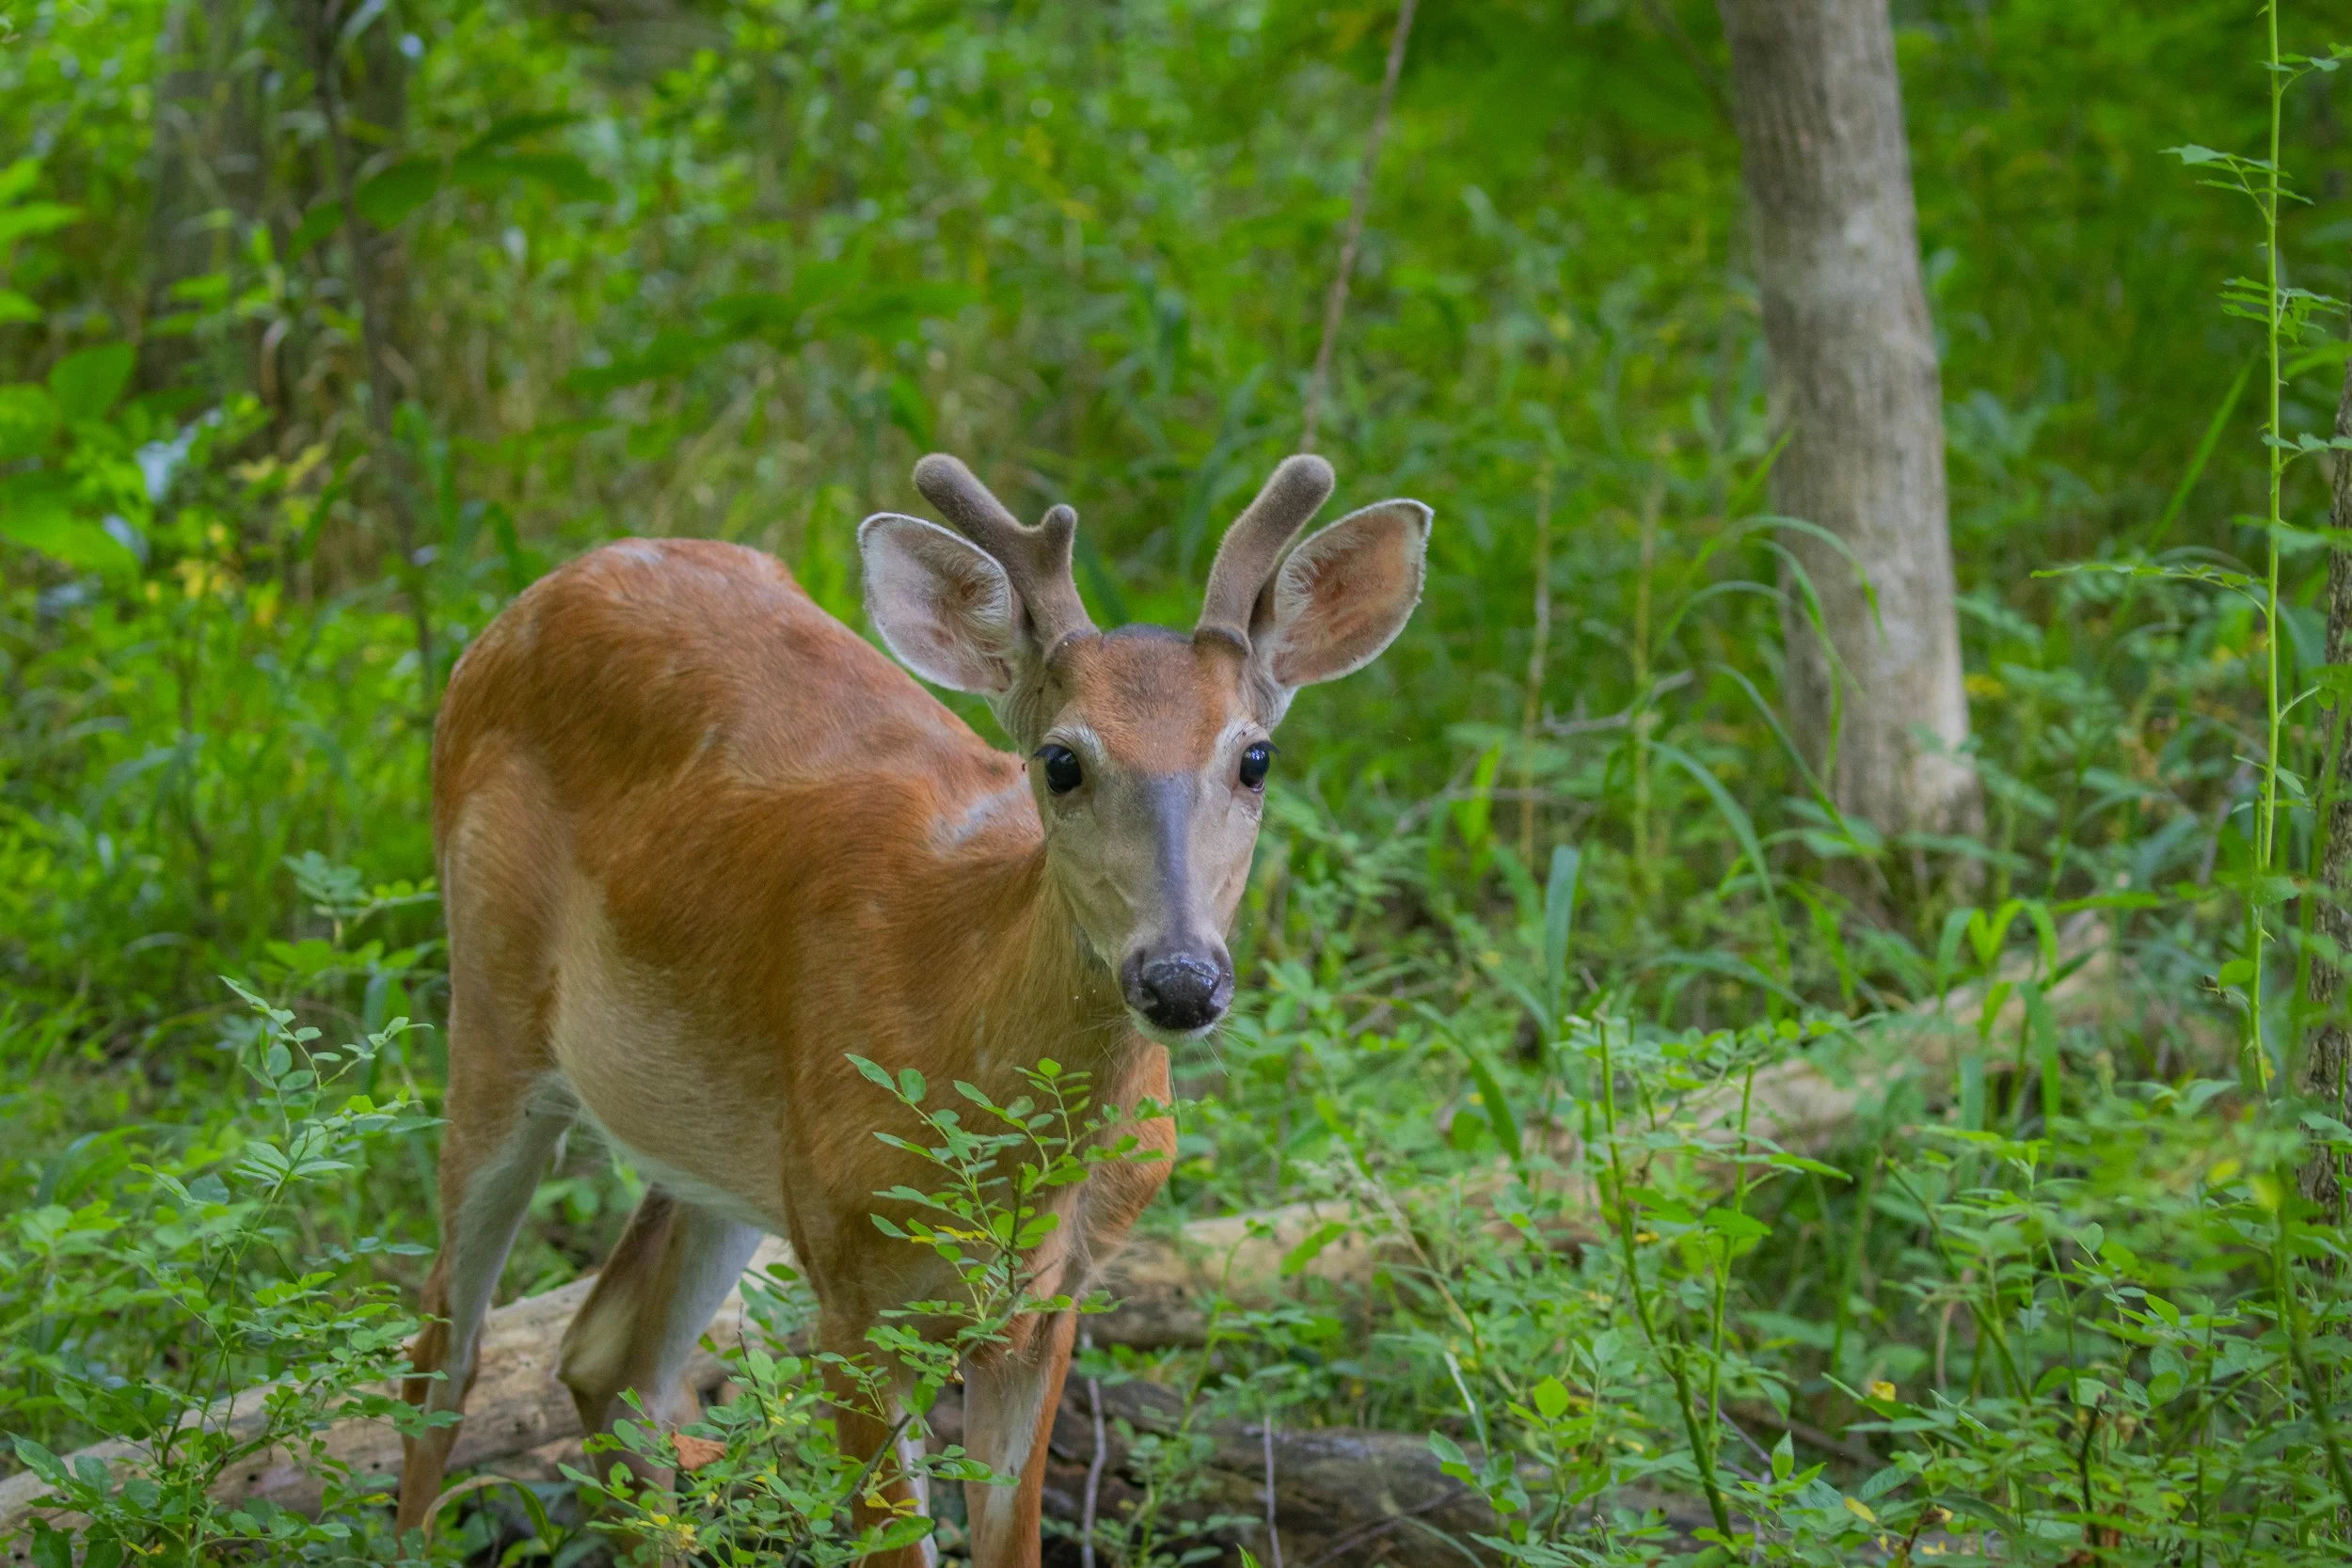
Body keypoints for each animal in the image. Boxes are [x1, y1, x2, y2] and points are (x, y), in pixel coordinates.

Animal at [394, 450, 1432, 1566]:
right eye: (1061, 759)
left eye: (1255, 756)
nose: (1180, 979)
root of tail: (530, 601)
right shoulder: (851, 1293)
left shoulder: (1051, 1299)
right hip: (493, 1007)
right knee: (443, 1348)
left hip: (726, 1144)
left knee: (610, 1353)